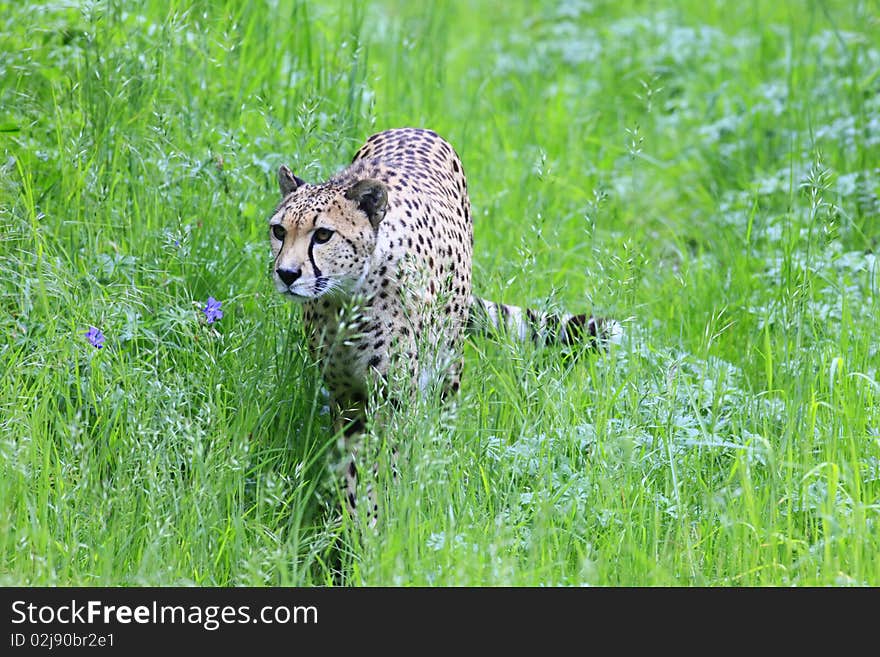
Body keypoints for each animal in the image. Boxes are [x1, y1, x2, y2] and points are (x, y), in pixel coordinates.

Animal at [268, 127, 620, 516]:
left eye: (323, 235)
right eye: (279, 231)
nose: (286, 274)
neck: (345, 300)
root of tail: (414, 128)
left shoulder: (393, 397)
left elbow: (385, 461)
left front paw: (382, 514)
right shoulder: (347, 395)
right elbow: (353, 466)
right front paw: (353, 517)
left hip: (448, 363)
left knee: (441, 421)